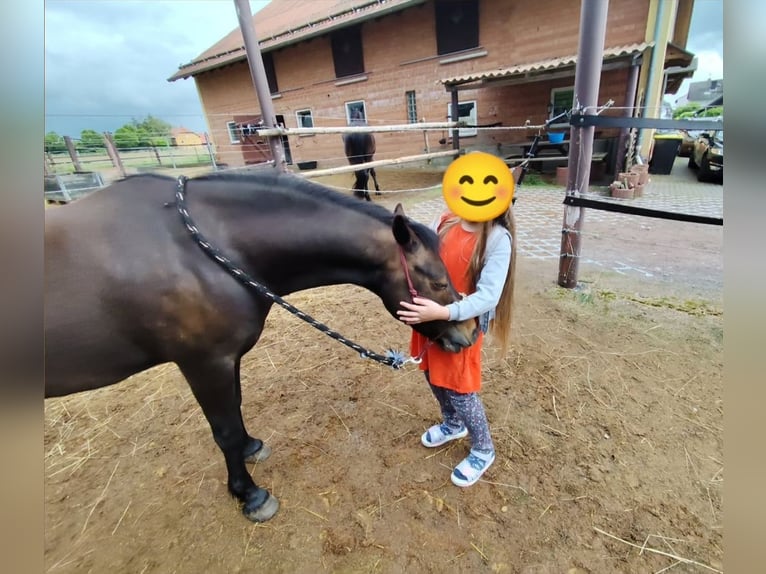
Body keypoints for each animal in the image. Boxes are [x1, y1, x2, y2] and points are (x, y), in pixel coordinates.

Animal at [44, 170, 478, 523]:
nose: (469, 334)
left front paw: (251, 449)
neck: (204, 253)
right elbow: (225, 431)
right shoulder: (205, 363)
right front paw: (249, 495)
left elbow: (236, 416)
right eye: (437, 280)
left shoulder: (225, 360)